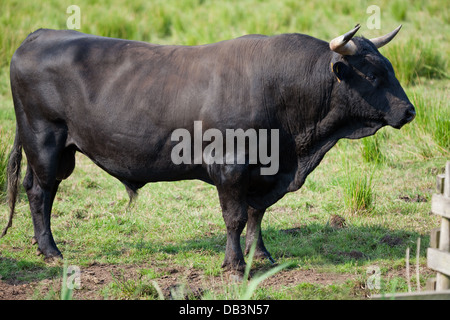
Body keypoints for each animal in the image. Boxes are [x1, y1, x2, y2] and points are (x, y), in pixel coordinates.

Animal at [1, 25, 414, 270]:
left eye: (390, 68)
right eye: (373, 74)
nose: (409, 111)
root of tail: (39, 35)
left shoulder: (264, 171)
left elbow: (256, 214)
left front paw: (261, 255)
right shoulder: (230, 166)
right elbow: (234, 217)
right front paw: (234, 264)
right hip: (46, 144)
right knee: (39, 193)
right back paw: (51, 251)